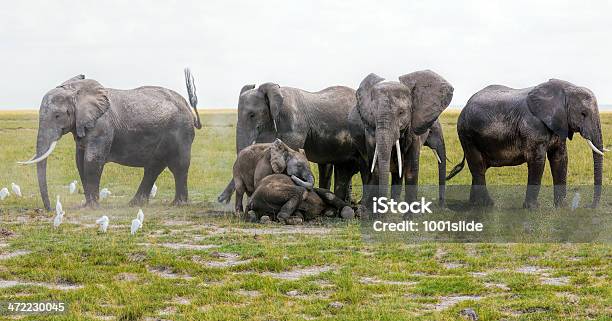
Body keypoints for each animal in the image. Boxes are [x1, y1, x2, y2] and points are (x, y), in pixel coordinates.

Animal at [17, 70, 201, 210]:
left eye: (57, 115)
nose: (49, 209)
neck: (77, 91)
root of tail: (187, 105)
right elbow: (79, 162)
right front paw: (87, 205)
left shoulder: (102, 126)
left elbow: (91, 160)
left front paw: (92, 207)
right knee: (153, 167)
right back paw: (135, 204)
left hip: (181, 130)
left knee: (178, 165)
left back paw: (178, 204)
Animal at [444, 79, 608, 206]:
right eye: (583, 114)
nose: (590, 206)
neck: (567, 88)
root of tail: (465, 105)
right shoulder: (533, 126)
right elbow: (538, 160)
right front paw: (532, 208)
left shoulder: (559, 124)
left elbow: (560, 158)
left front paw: (562, 207)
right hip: (466, 133)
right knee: (478, 166)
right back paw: (488, 204)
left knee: (479, 167)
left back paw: (474, 204)